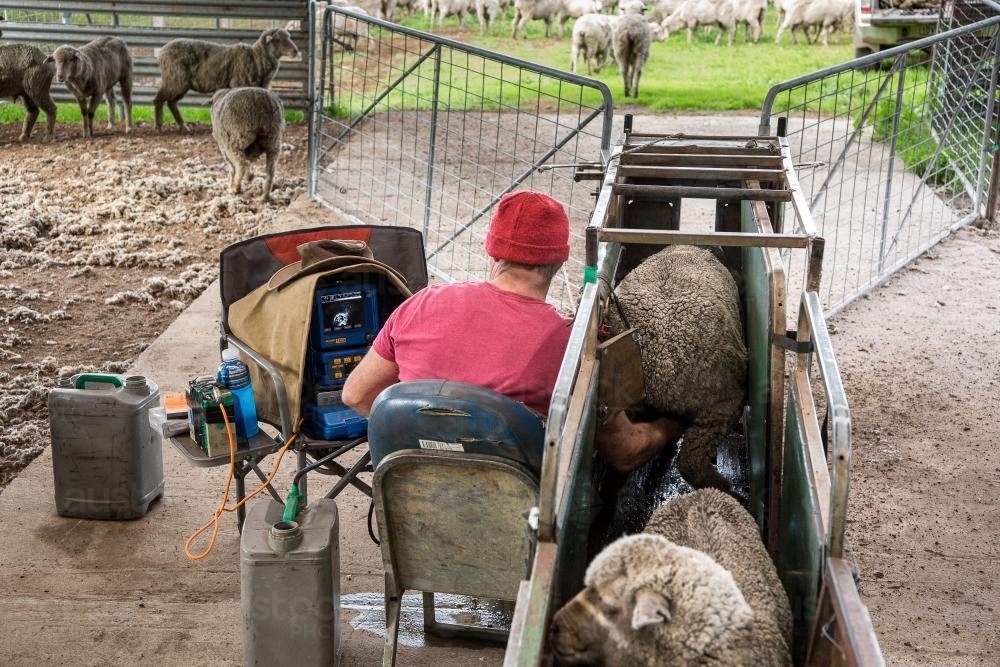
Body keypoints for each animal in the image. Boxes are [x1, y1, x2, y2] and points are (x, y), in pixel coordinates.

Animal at [152, 27, 298, 133]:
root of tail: (161, 52)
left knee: (171, 102)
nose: (295, 51)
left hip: (179, 82)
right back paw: (159, 127)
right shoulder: (238, 84)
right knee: (159, 100)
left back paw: (183, 127)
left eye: (289, 37)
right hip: (174, 79)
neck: (255, 57)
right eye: (277, 39)